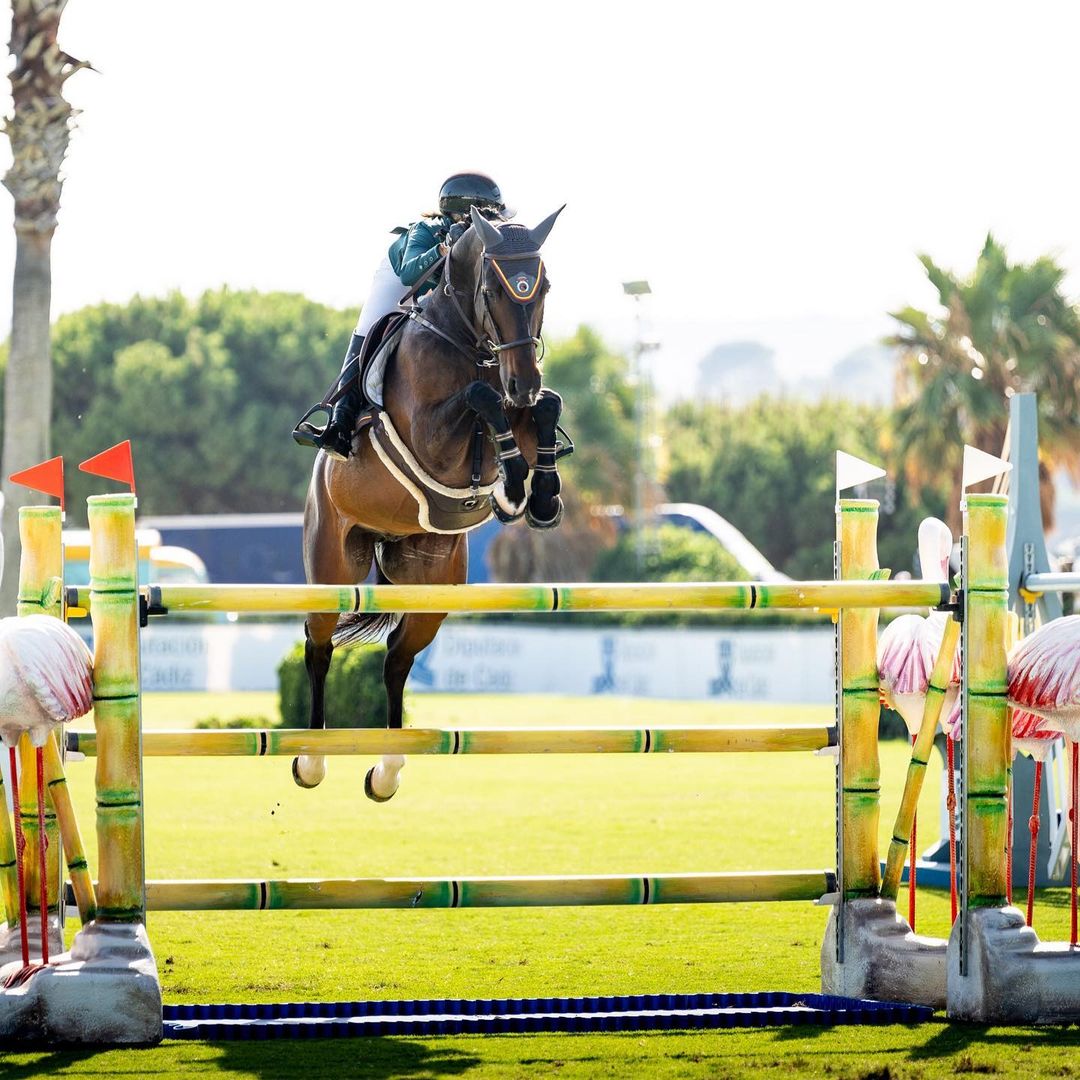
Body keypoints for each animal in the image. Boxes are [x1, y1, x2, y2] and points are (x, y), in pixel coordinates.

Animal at [295, 206, 568, 798]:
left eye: (543, 288)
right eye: (492, 289)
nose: (524, 381)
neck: (472, 344)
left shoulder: (518, 406)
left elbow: (545, 408)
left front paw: (540, 495)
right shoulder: (431, 435)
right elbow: (480, 397)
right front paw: (514, 482)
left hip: (431, 581)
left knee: (397, 660)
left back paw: (386, 772)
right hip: (331, 561)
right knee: (319, 645)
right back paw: (311, 761)